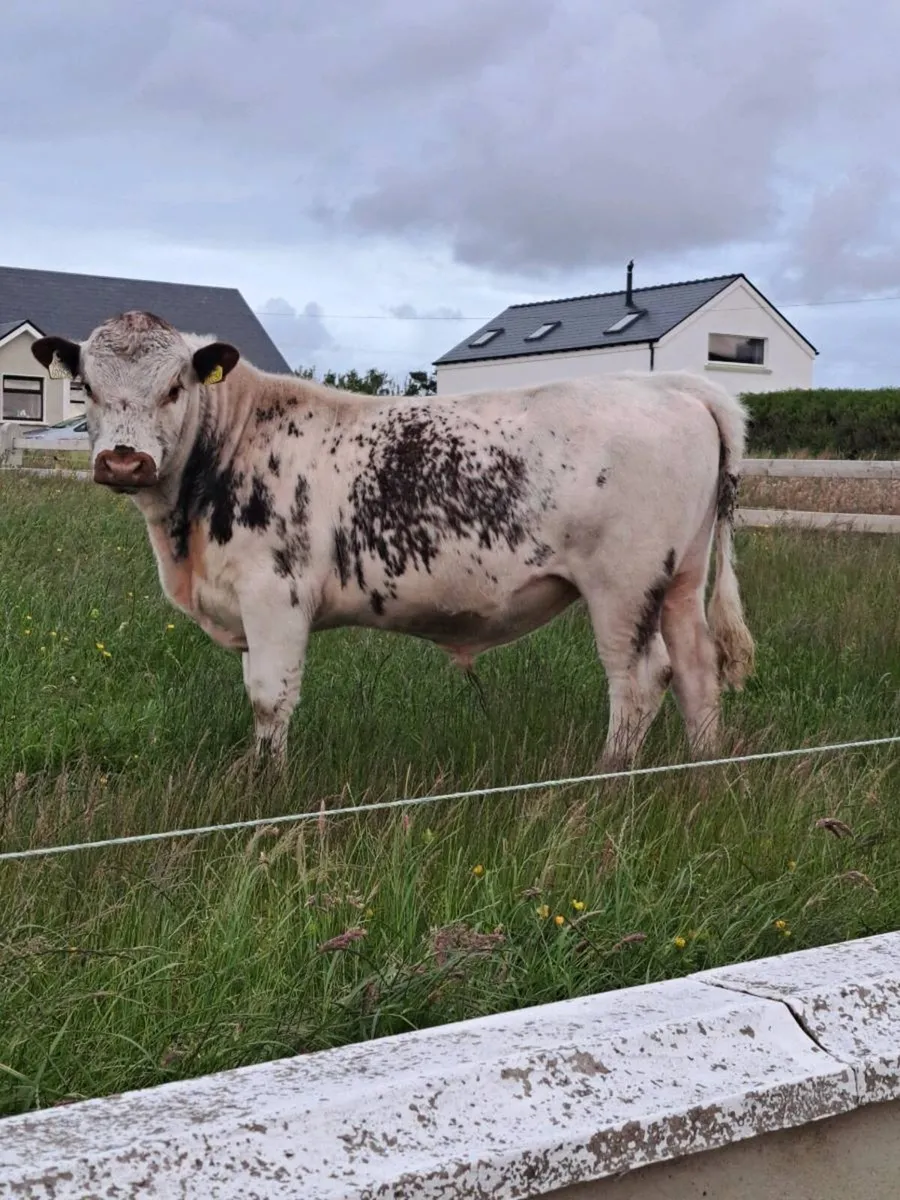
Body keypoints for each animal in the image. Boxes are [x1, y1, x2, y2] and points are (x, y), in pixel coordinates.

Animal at [31, 312, 755, 771]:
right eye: (86, 386)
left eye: (175, 386)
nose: (123, 461)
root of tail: (673, 385)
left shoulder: (274, 594)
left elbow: (269, 695)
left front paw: (265, 788)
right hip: (680, 579)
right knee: (697, 668)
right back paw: (703, 772)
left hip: (625, 583)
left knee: (640, 677)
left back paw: (606, 779)